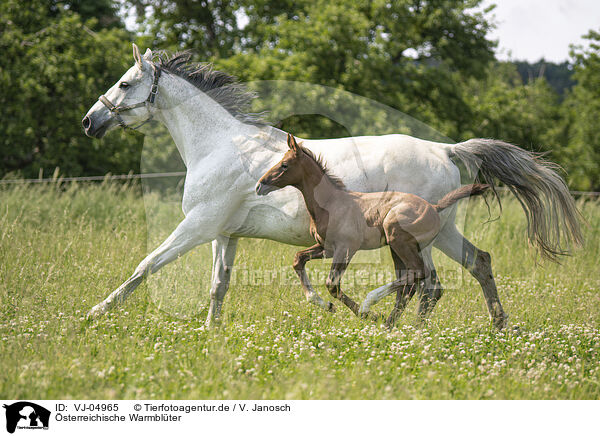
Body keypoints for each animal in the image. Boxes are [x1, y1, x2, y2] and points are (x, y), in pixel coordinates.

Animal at [255, 135, 490, 326]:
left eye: (284, 165)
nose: (260, 185)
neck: (331, 202)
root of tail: (434, 207)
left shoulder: (346, 248)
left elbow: (332, 284)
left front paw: (366, 313)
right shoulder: (325, 248)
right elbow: (298, 260)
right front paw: (325, 305)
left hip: (398, 240)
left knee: (419, 275)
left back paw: (373, 305)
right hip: (399, 248)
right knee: (412, 283)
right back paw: (389, 323)